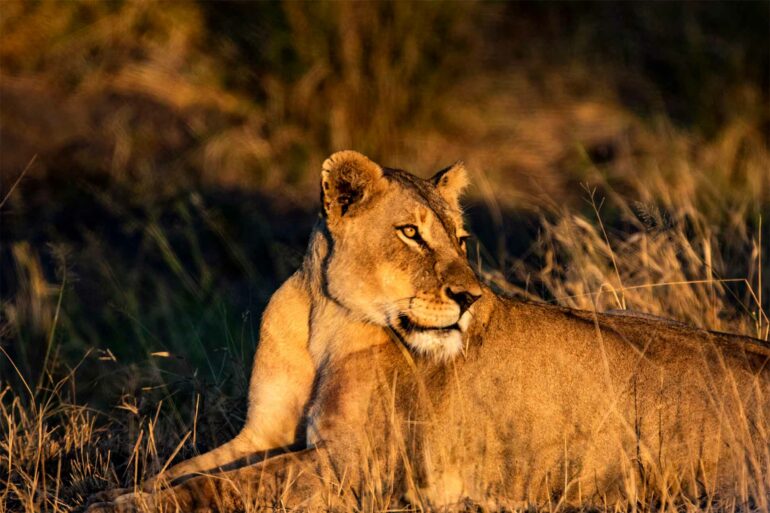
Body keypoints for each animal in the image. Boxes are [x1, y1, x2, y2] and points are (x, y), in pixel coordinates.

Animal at [87, 151, 770, 512]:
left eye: (462, 241)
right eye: (411, 233)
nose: (470, 298)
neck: (320, 320)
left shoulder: (353, 468)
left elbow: (222, 486)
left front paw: (122, 505)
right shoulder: (264, 433)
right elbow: (185, 471)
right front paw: (123, 491)